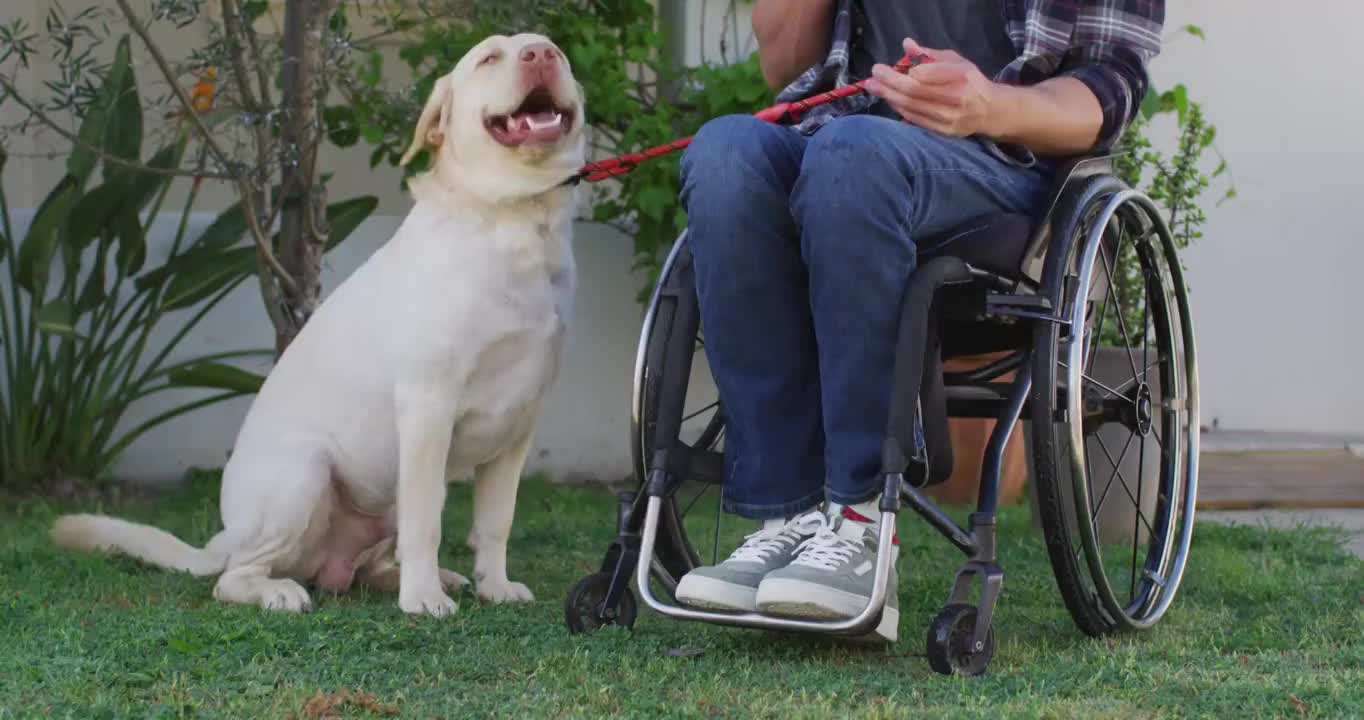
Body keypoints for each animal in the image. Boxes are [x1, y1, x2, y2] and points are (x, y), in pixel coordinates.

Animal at [50, 33, 583, 616]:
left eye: (555, 52)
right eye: (489, 58)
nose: (540, 55)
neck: (516, 221)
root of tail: (225, 537)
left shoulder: (517, 425)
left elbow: (495, 522)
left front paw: (494, 586)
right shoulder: (427, 406)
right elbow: (428, 521)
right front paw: (422, 599)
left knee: (365, 566)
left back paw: (424, 578)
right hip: (304, 472)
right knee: (233, 577)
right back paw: (284, 591)